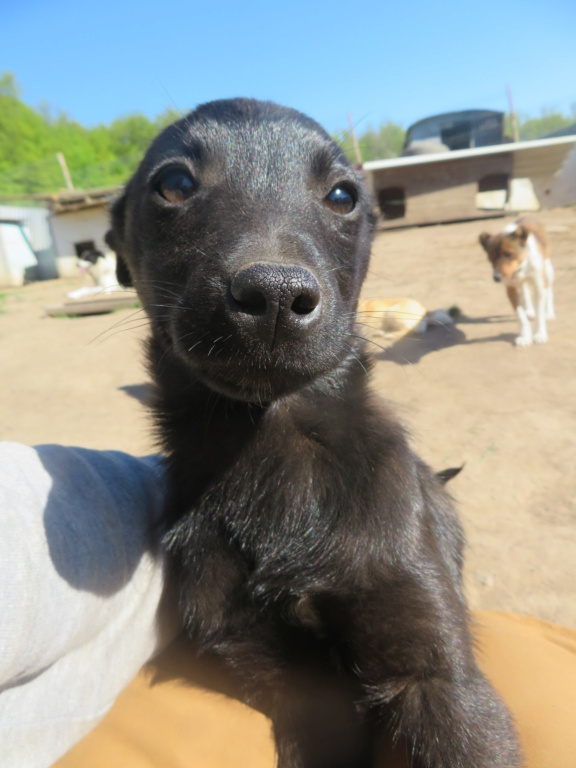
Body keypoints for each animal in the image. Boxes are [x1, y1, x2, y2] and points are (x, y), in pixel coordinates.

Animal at [104, 100, 520, 768]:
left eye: (343, 195)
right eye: (175, 184)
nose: (274, 295)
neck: (271, 449)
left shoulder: (437, 673)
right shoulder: (295, 684)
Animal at [480, 218, 556, 346]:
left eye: (508, 254)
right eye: (490, 258)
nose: (496, 278)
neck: (520, 267)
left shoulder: (539, 286)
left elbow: (540, 313)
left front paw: (540, 334)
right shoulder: (511, 289)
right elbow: (520, 315)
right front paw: (525, 336)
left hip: (548, 270)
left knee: (549, 291)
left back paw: (549, 312)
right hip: (522, 283)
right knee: (525, 292)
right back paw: (529, 310)